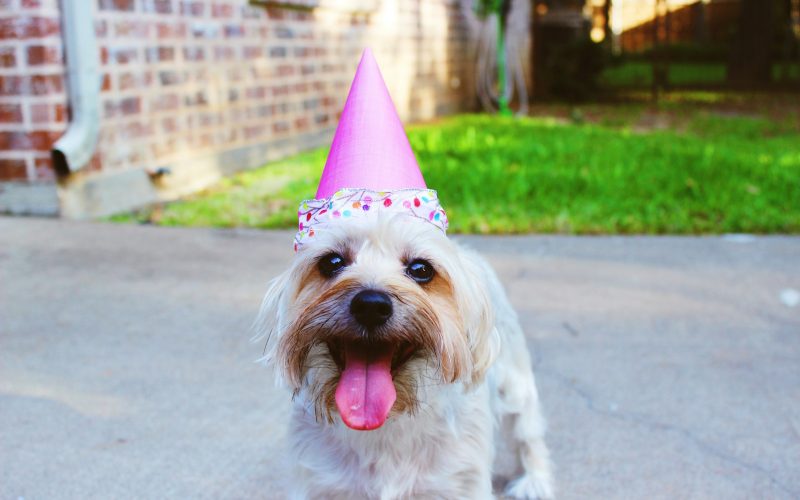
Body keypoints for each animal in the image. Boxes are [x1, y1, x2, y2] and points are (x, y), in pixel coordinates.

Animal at [255, 213, 552, 498]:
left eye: (421, 269)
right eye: (332, 262)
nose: (371, 306)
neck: (383, 425)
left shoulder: (459, 482)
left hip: (516, 384)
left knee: (527, 432)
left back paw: (535, 480)